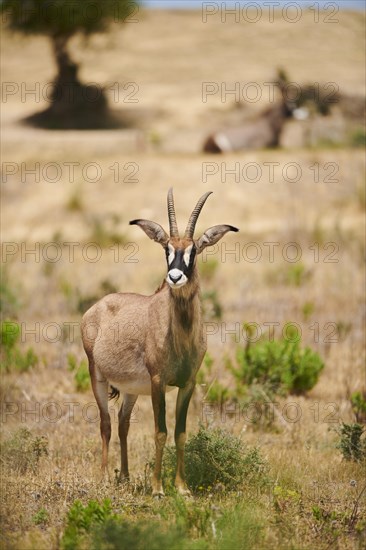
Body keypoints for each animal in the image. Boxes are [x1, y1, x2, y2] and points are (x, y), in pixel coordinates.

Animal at [81, 190, 239, 500]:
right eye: (167, 249)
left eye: (193, 250)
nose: (175, 277)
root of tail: (96, 308)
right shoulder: (158, 382)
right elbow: (160, 431)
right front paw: (157, 489)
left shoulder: (187, 383)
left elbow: (180, 432)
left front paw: (182, 487)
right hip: (98, 377)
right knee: (105, 423)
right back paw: (105, 478)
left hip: (130, 389)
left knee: (123, 423)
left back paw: (125, 477)